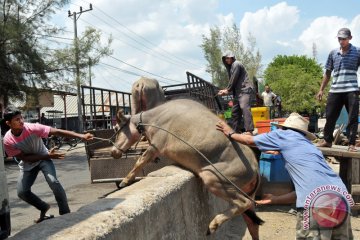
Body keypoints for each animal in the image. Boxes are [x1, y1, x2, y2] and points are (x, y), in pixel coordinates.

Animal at [111, 98, 262, 239]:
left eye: (117, 128)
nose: (113, 151)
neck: (152, 119)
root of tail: (255, 168)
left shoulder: (156, 145)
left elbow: (140, 161)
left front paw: (125, 181)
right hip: (246, 191)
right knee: (252, 222)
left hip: (215, 178)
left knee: (243, 203)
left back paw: (212, 226)